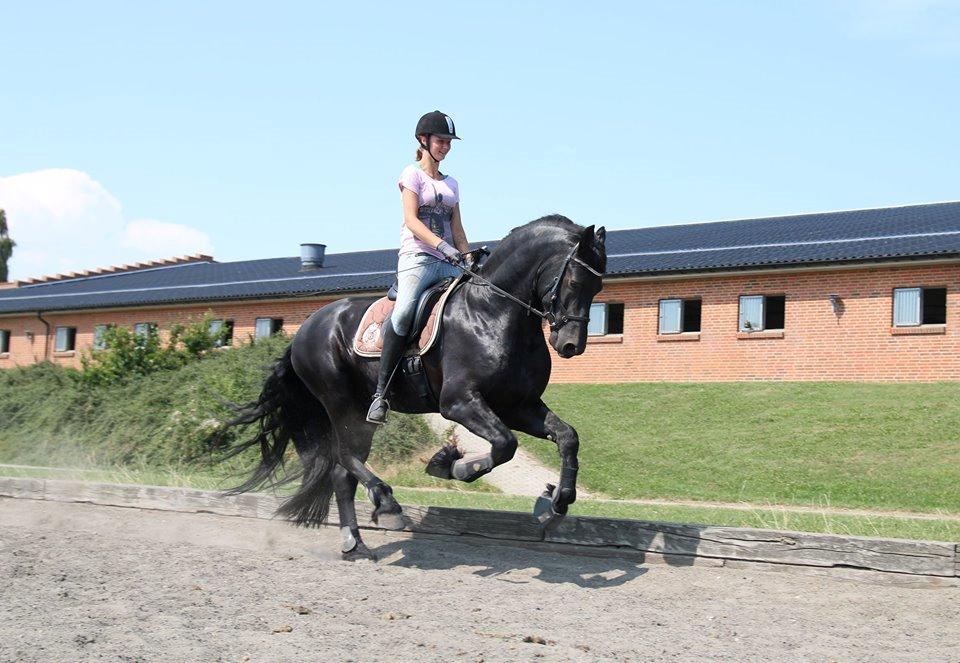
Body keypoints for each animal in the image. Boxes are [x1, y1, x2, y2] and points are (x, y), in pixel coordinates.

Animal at [221, 215, 604, 556]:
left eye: (597, 288)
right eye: (574, 282)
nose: (571, 345)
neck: (494, 313)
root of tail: (305, 328)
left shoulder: (518, 406)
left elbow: (567, 437)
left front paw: (555, 504)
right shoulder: (459, 403)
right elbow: (504, 444)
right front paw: (448, 464)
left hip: (354, 410)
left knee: (343, 474)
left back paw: (355, 543)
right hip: (341, 403)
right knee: (344, 458)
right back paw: (386, 505)